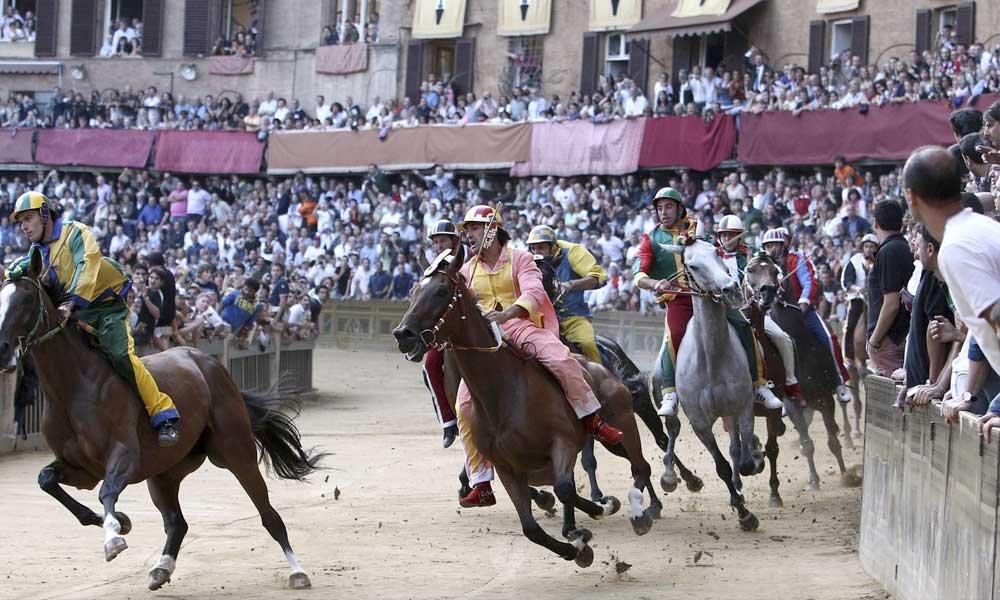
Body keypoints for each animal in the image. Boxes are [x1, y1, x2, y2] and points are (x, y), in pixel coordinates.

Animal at [0, 252, 322, 592]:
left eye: (25, 299)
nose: (3, 349)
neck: (73, 388)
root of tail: (207, 362)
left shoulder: (125, 454)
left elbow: (107, 492)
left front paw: (113, 537)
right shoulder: (81, 468)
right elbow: (47, 479)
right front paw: (119, 522)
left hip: (235, 451)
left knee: (269, 516)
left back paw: (298, 571)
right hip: (165, 472)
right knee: (177, 522)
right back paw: (161, 568)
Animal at [394, 245, 660, 568]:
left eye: (442, 291)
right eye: (413, 290)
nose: (403, 334)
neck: (505, 394)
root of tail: (601, 368)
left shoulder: (563, 442)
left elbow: (564, 488)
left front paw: (589, 519)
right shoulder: (507, 468)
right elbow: (531, 527)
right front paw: (577, 546)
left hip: (621, 427)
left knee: (641, 465)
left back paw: (641, 511)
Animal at [656, 237, 756, 532]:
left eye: (717, 253)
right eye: (692, 265)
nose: (730, 288)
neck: (712, 356)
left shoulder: (743, 405)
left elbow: (744, 459)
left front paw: (741, 493)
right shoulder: (699, 422)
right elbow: (721, 466)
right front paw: (744, 514)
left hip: (730, 410)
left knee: (736, 447)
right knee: (672, 428)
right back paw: (670, 476)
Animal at [748, 251, 848, 490]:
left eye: (776, 271)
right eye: (751, 269)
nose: (768, 292)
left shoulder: (824, 399)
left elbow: (832, 439)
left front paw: (845, 475)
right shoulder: (793, 405)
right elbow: (807, 442)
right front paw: (813, 480)